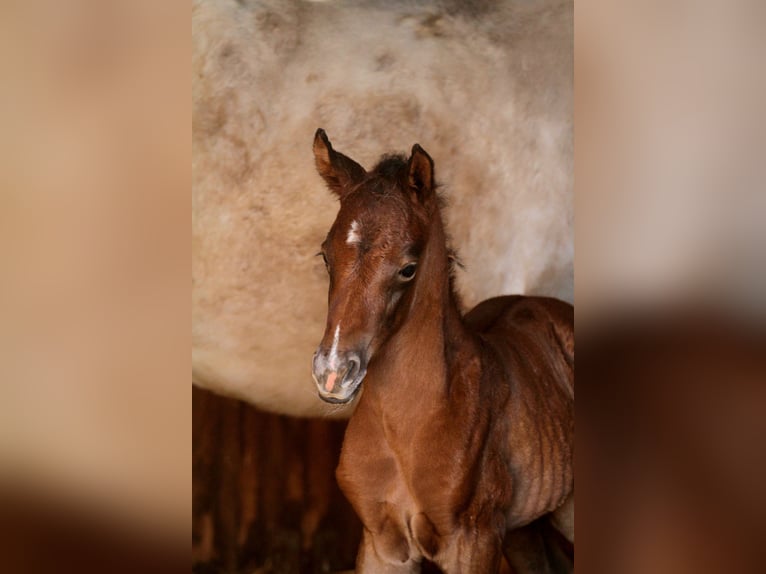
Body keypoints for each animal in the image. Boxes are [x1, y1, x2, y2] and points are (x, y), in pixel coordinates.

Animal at [310, 129, 574, 573]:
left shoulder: (473, 541)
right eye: (326, 256)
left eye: (408, 268)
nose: (332, 372)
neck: (406, 430)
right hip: (526, 529)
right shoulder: (381, 543)